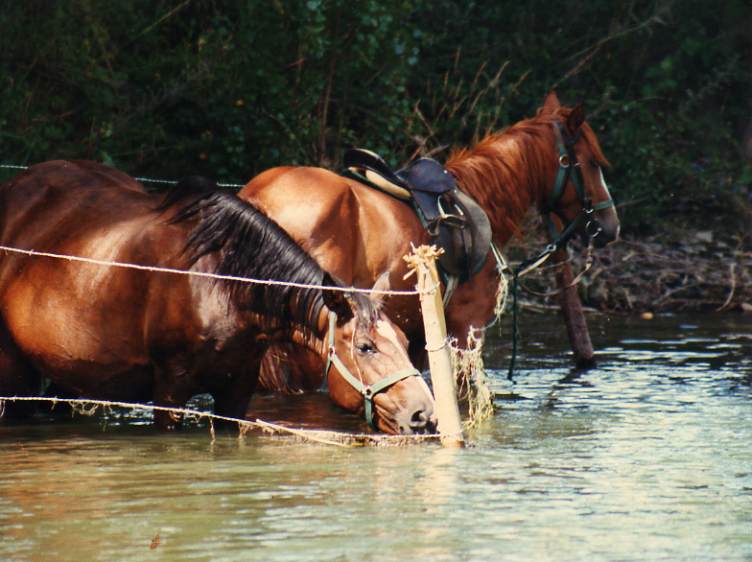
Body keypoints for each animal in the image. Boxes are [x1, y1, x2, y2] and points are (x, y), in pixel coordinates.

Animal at [0, 160, 434, 430]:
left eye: (404, 340)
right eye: (365, 347)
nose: (424, 415)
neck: (219, 285)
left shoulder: (235, 392)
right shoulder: (171, 391)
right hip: (17, 373)